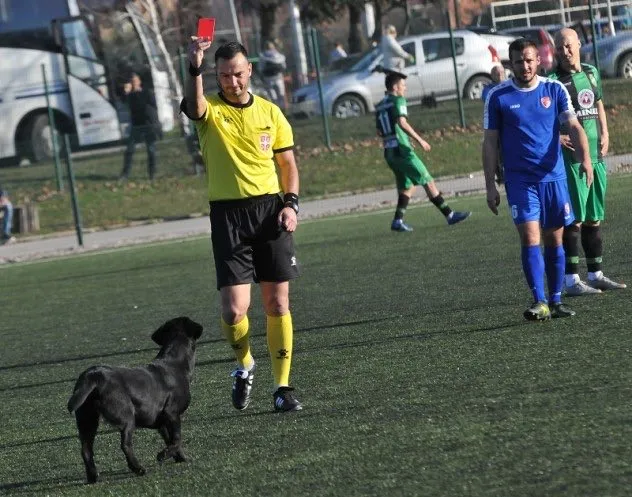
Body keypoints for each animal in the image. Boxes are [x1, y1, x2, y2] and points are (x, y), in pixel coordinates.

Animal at [66, 316, 202, 482]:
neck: (175, 365)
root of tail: (93, 375)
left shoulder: (162, 422)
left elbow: (170, 439)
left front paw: (181, 457)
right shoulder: (172, 413)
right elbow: (177, 439)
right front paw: (163, 455)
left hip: (87, 421)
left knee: (86, 449)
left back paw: (93, 477)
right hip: (127, 418)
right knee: (125, 445)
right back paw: (138, 468)